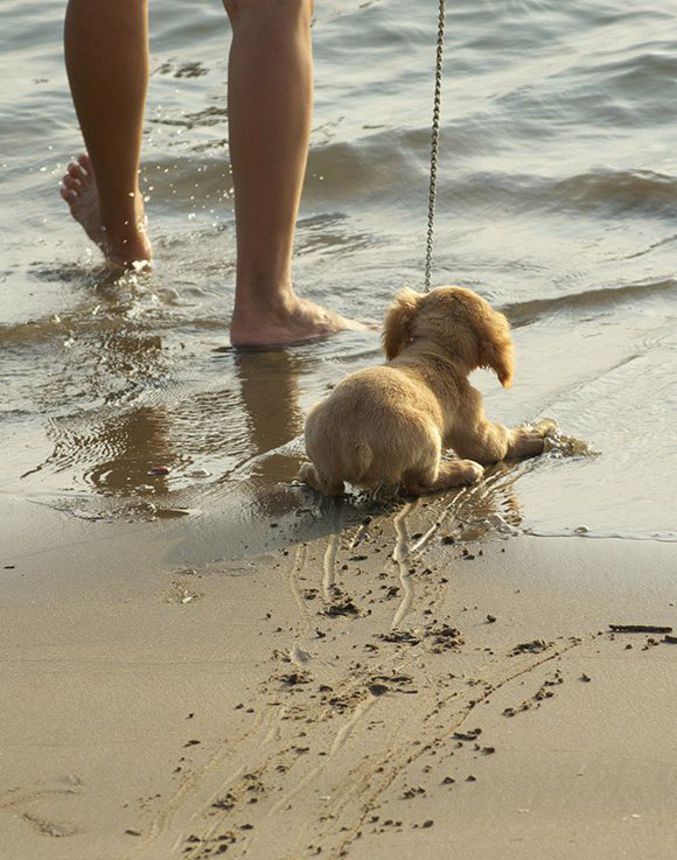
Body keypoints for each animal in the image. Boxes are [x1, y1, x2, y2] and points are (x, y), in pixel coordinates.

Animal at [298, 286, 552, 494]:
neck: (434, 351)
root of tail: (354, 442)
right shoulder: (471, 422)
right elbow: (495, 444)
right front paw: (529, 436)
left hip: (320, 441)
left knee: (331, 486)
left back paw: (307, 472)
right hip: (428, 435)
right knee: (419, 484)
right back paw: (464, 470)